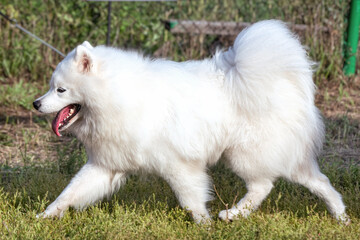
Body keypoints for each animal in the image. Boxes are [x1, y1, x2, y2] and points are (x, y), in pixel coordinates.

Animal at [33, 20, 348, 223]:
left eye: (60, 90)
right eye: (51, 87)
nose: (36, 104)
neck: (118, 96)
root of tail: (283, 83)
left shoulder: (179, 165)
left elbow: (191, 199)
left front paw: (203, 225)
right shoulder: (105, 165)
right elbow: (69, 193)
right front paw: (44, 216)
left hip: (244, 154)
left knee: (264, 186)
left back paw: (232, 214)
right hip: (279, 157)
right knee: (319, 181)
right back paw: (341, 216)